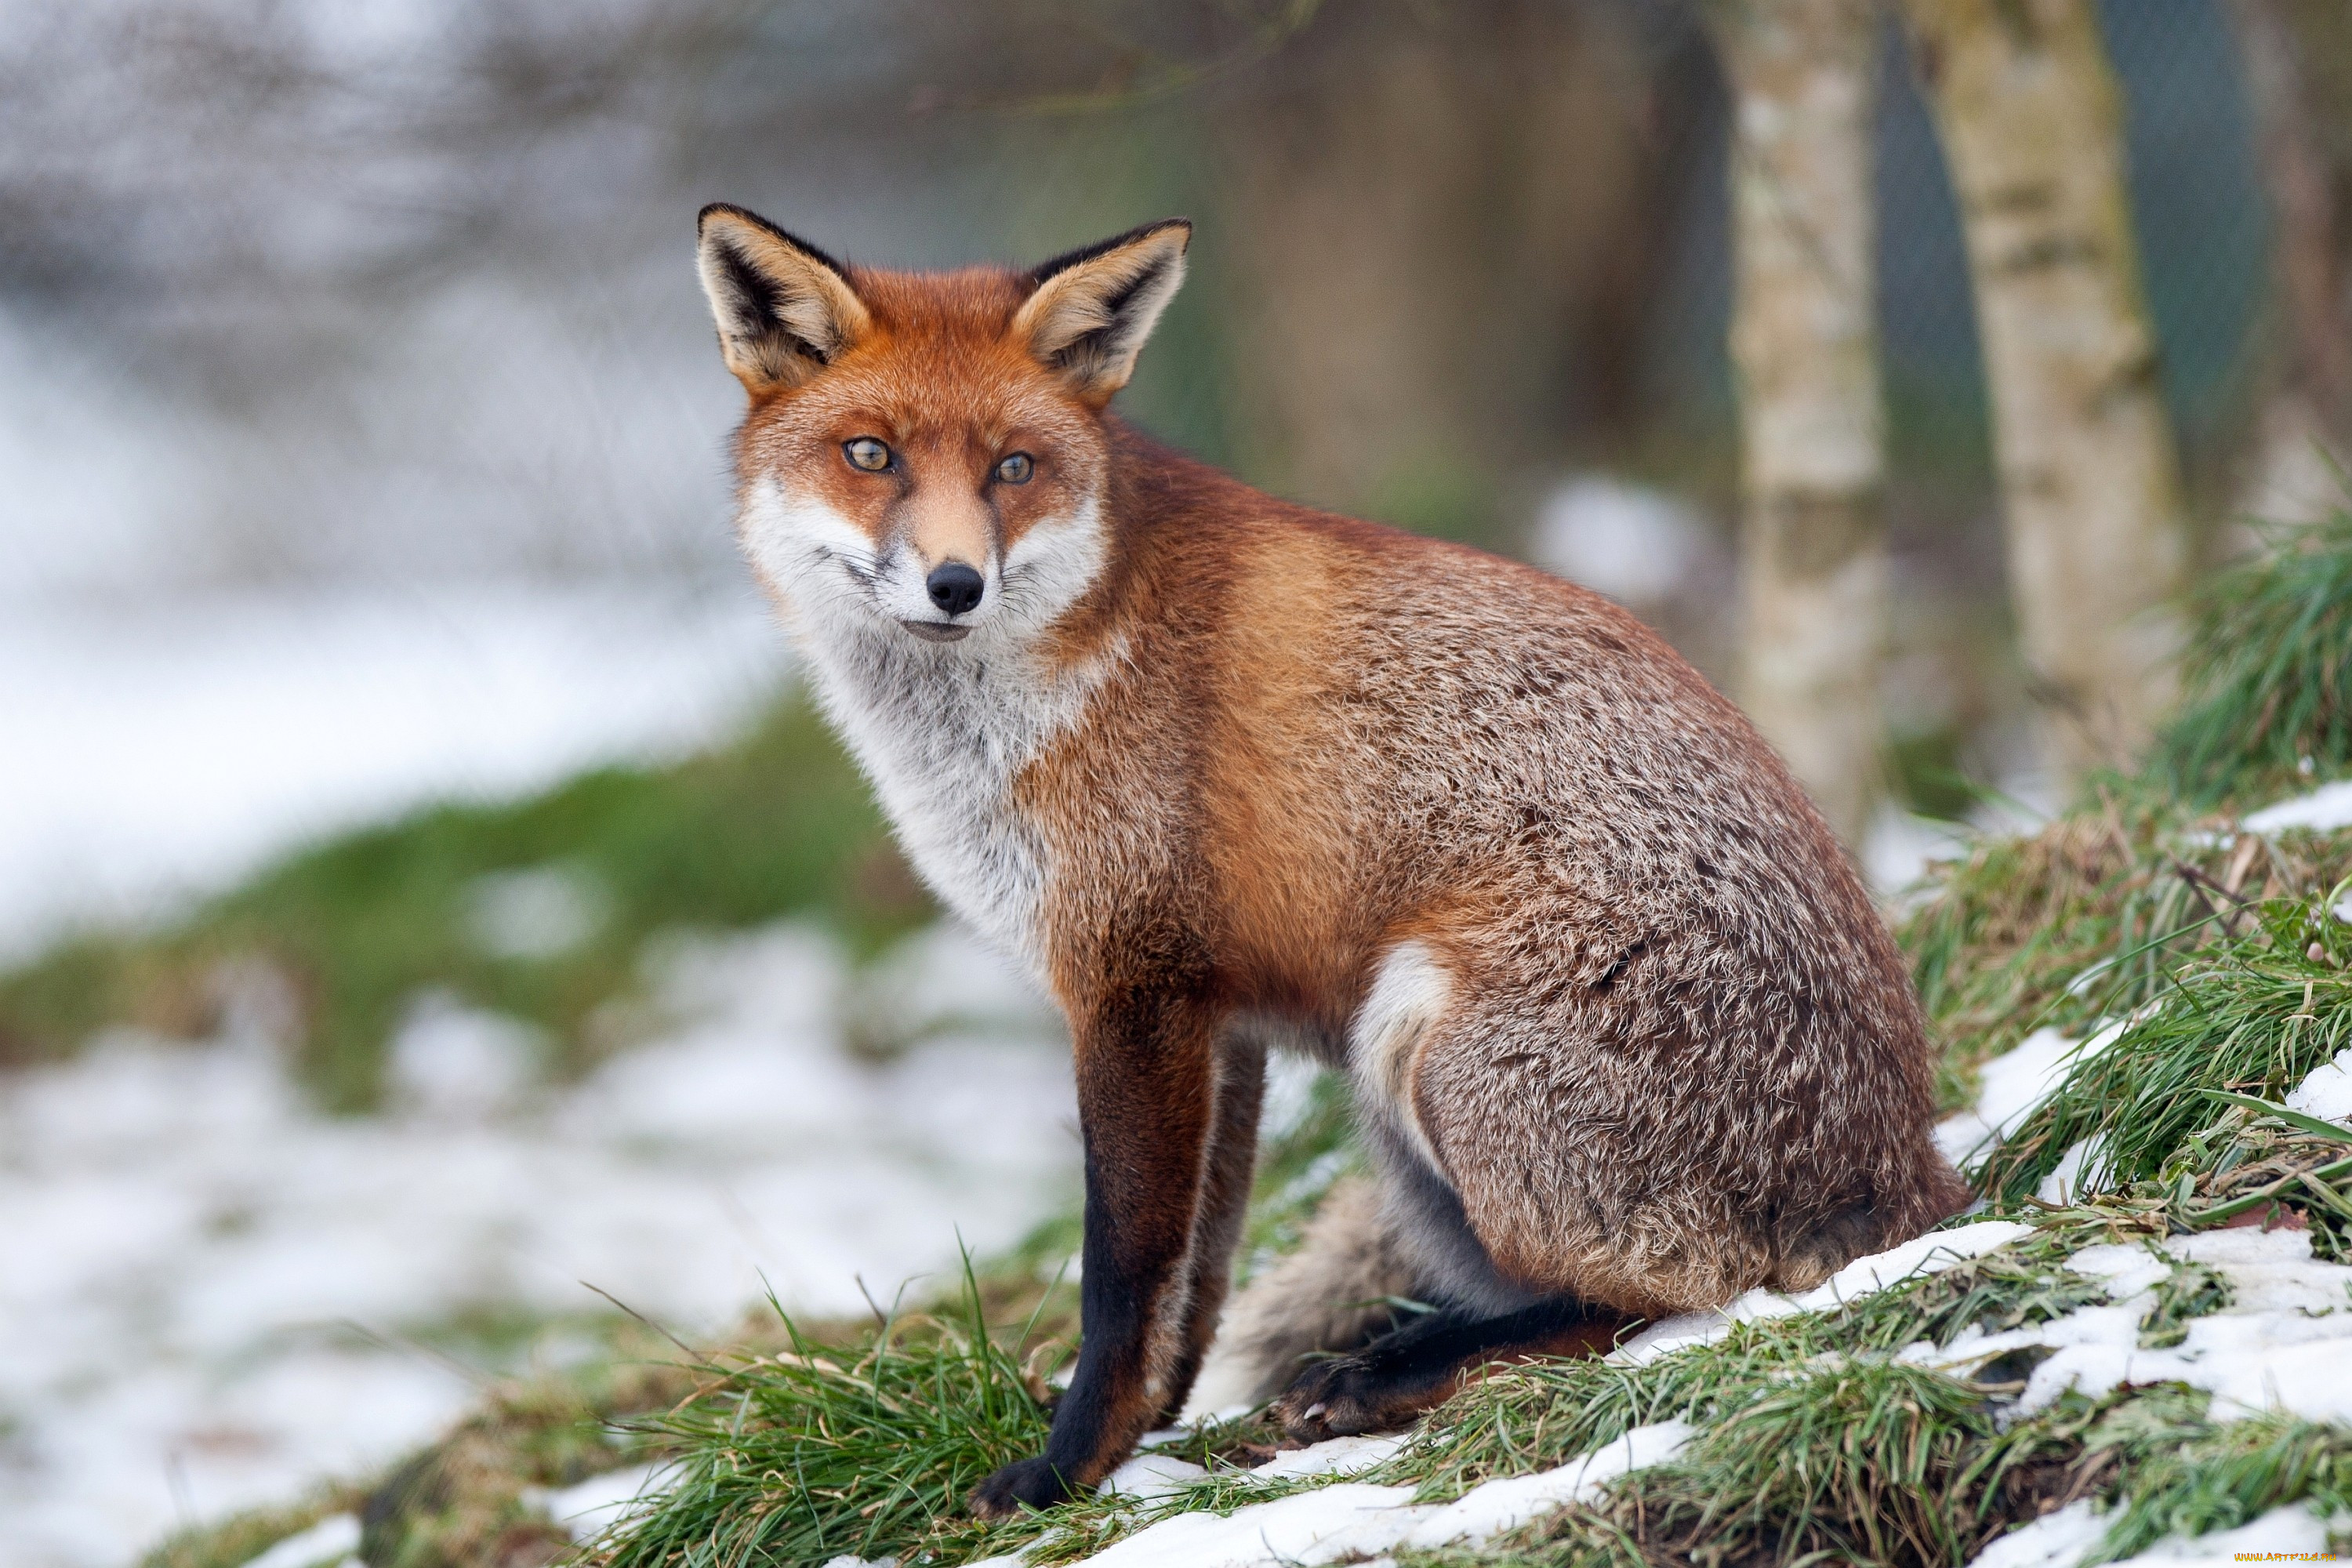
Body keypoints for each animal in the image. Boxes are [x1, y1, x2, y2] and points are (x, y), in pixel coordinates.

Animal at [691, 201, 1966, 1514]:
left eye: (1013, 468)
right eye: (871, 454)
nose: (956, 584)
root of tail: (1914, 1178)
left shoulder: (1131, 985)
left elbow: (1120, 1274)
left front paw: (1061, 1470)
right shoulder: (1214, 1019)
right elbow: (1195, 1279)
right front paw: (1145, 1437)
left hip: (1418, 1031)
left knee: (1668, 1294)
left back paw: (1400, 1367)